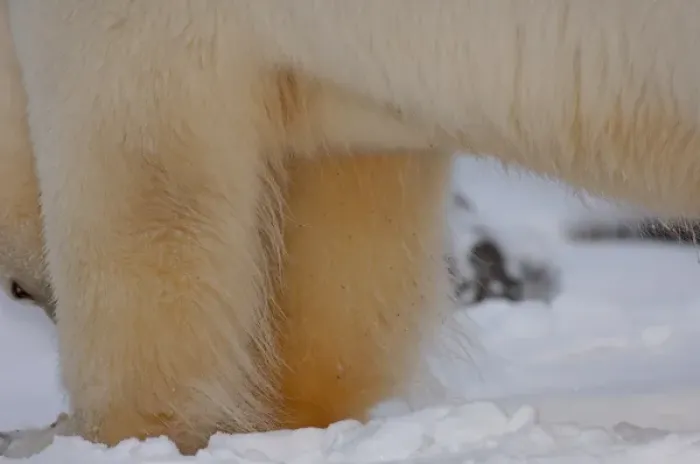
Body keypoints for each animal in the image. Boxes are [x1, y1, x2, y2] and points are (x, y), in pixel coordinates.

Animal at [4, 0, 700, 454]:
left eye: (15, 287)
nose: (31, 291)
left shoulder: (126, 25)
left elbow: (149, 202)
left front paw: (109, 436)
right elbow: (346, 253)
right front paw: (288, 423)